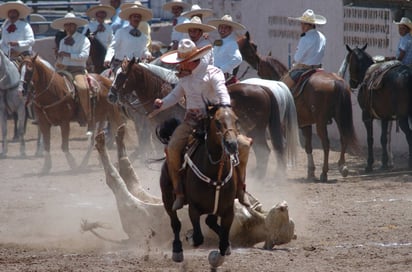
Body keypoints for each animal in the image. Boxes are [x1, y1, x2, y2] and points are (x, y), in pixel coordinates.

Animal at [158, 104, 241, 268]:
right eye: (217, 122)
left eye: (236, 120)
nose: (232, 145)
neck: (215, 174)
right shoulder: (194, 209)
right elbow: (197, 237)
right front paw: (189, 237)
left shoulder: (228, 211)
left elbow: (222, 243)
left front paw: (219, 255)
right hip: (167, 197)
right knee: (175, 223)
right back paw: (177, 250)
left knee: (210, 222)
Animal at [342, 44, 412, 172]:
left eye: (349, 60)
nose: (351, 83)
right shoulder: (385, 117)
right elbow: (383, 139)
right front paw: (384, 163)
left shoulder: (366, 116)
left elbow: (370, 139)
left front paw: (369, 164)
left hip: (403, 117)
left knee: (409, 135)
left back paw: (409, 163)